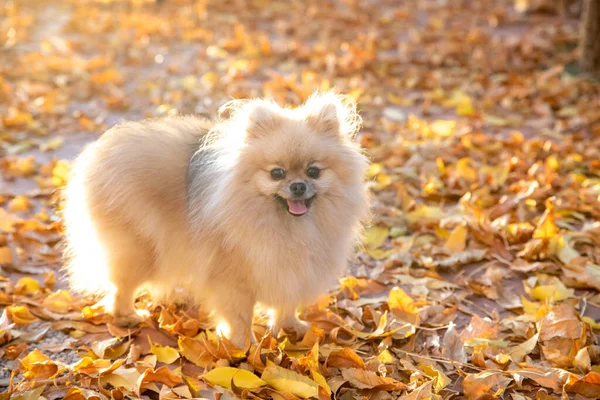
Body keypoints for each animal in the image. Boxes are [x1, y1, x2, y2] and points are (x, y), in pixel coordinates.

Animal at [62, 91, 370, 346]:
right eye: (277, 173)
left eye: (313, 171)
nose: (297, 186)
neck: (288, 226)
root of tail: (97, 152)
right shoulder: (232, 277)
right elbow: (239, 315)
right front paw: (244, 346)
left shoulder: (289, 270)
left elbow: (286, 303)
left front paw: (290, 325)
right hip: (139, 249)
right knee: (121, 286)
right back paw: (126, 315)